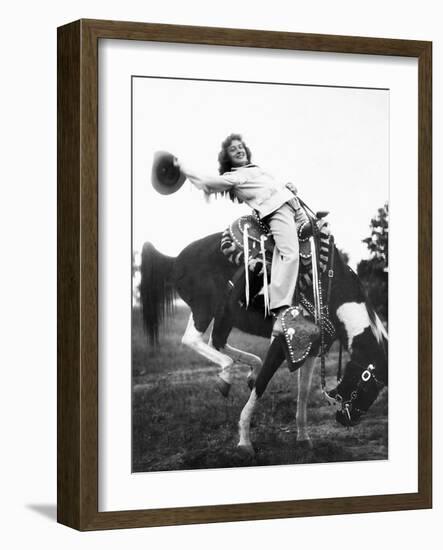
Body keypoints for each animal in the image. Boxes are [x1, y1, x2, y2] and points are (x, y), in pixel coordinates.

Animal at [139, 220, 388, 458]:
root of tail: (175, 260)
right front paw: (244, 442)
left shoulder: (312, 348)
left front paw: (303, 438)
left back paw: (245, 370)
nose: (348, 420)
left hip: (225, 316)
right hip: (204, 308)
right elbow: (262, 384)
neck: (327, 288)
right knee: (192, 340)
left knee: (216, 342)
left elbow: (303, 393)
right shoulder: (282, 342)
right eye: (368, 383)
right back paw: (226, 377)